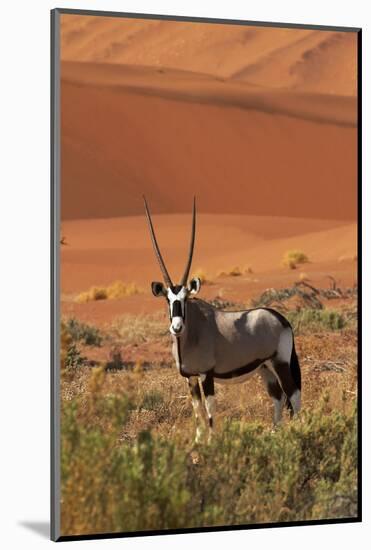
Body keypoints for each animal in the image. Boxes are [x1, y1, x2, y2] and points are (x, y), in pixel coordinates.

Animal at [143, 198, 302, 444]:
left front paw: (211, 442)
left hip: (280, 362)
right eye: (168, 299)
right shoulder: (190, 378)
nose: (177, 327)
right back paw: (275, 432)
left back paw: (298, 431)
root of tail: (281, 319)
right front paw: (197, 441)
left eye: (185, 298)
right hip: (265, 367)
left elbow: (210, 410)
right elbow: (197, 410)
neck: (191, 333)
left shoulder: (206, 374)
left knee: (293, 394)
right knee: (278, 397)